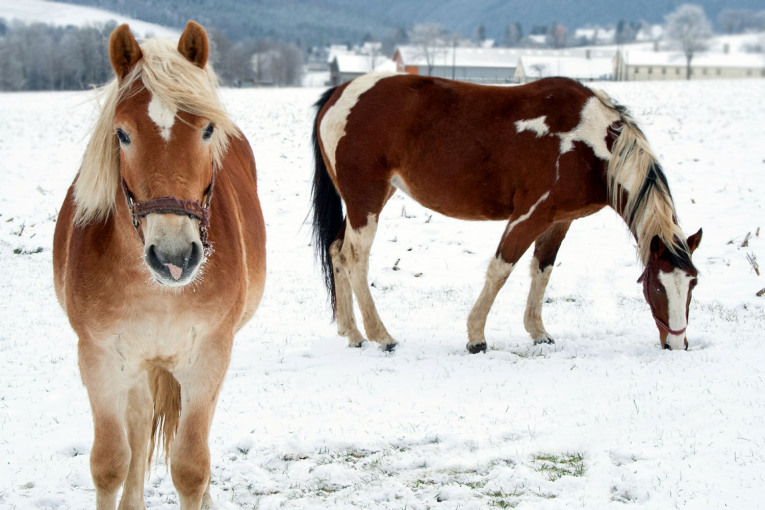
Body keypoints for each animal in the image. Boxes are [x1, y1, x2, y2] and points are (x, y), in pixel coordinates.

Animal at [52, 21, 264, 508]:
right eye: (122, 134)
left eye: (207, 130)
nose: (174, 258)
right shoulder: (100, 359)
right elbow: (111, 463)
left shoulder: (208, 356)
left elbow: (191, 467)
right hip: (137, 367)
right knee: (138, 429)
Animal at [310, 73, 700, 354]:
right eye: (657, 286)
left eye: (692, 283)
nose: (676, 343)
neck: (586, 143)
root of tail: (340, 92)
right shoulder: (530, 215)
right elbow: (501, 269)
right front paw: (476, 336)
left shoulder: (560, 220)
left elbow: (542, 270)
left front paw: (538, 331)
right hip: (366, 202)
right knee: (354, 258)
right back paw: (382, 336)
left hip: (366, 202)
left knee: (336, 251)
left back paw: (353, 333)